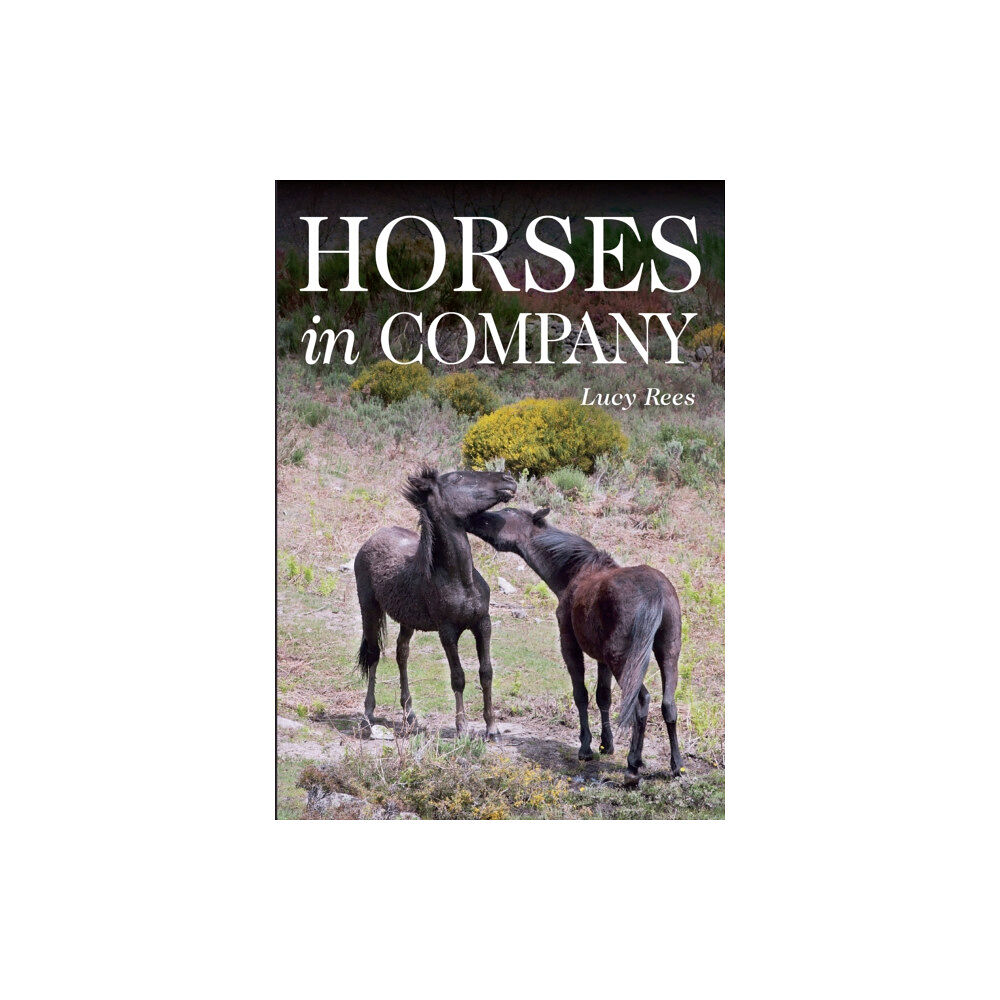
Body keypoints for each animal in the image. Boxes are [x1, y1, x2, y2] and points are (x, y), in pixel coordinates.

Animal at [353, 466, 517, 739]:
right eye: (457, 478)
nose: (509, 480)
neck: (461, 579)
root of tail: (373, 538)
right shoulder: (447, 632)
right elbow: (458, 676)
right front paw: (462, 728)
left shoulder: (483, 624)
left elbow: (486, 673)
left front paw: (492, 728)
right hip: (370, 609)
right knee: (374, 655)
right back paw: (368, 715)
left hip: (407, 620)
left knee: (401, 654)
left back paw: (410, 715)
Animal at [465, 506, 683, 785]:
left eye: (502, 514)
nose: (471, 517)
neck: (574, 572)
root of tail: (655, 591)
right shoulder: (602, 658)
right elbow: (603, 697)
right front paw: (606, 744)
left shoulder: (570, 645)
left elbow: (581, 694)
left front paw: (586, 747)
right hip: (667, 654)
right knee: (668, 705)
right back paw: (676, 765)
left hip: (624, 660)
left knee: (641, 701)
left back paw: (633, 766)